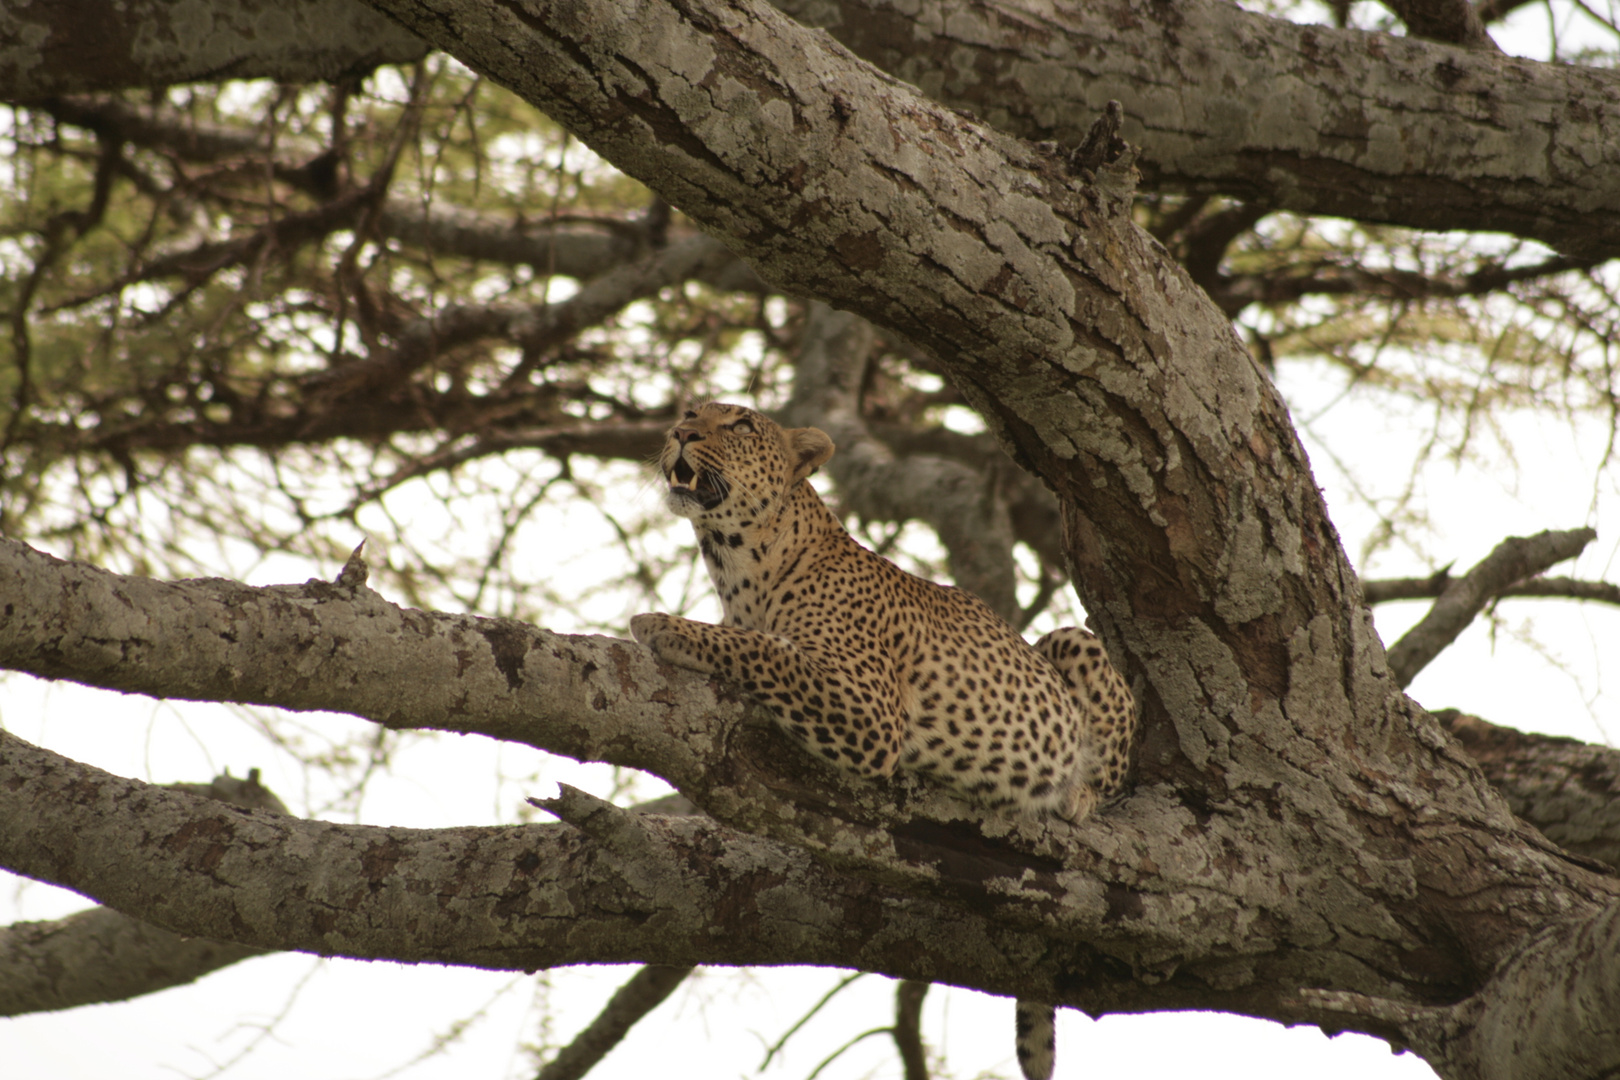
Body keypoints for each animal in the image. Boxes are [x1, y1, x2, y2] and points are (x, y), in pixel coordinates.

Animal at [625, 399, 1134, 1080]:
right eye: (689, 411)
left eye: (739, 426)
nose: (681, 432)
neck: (737, 565)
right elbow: (759, 642)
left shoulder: (865, 705)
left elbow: (759, 647)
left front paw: (665, 625)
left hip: (1071, 642)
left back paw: (1076, 795)